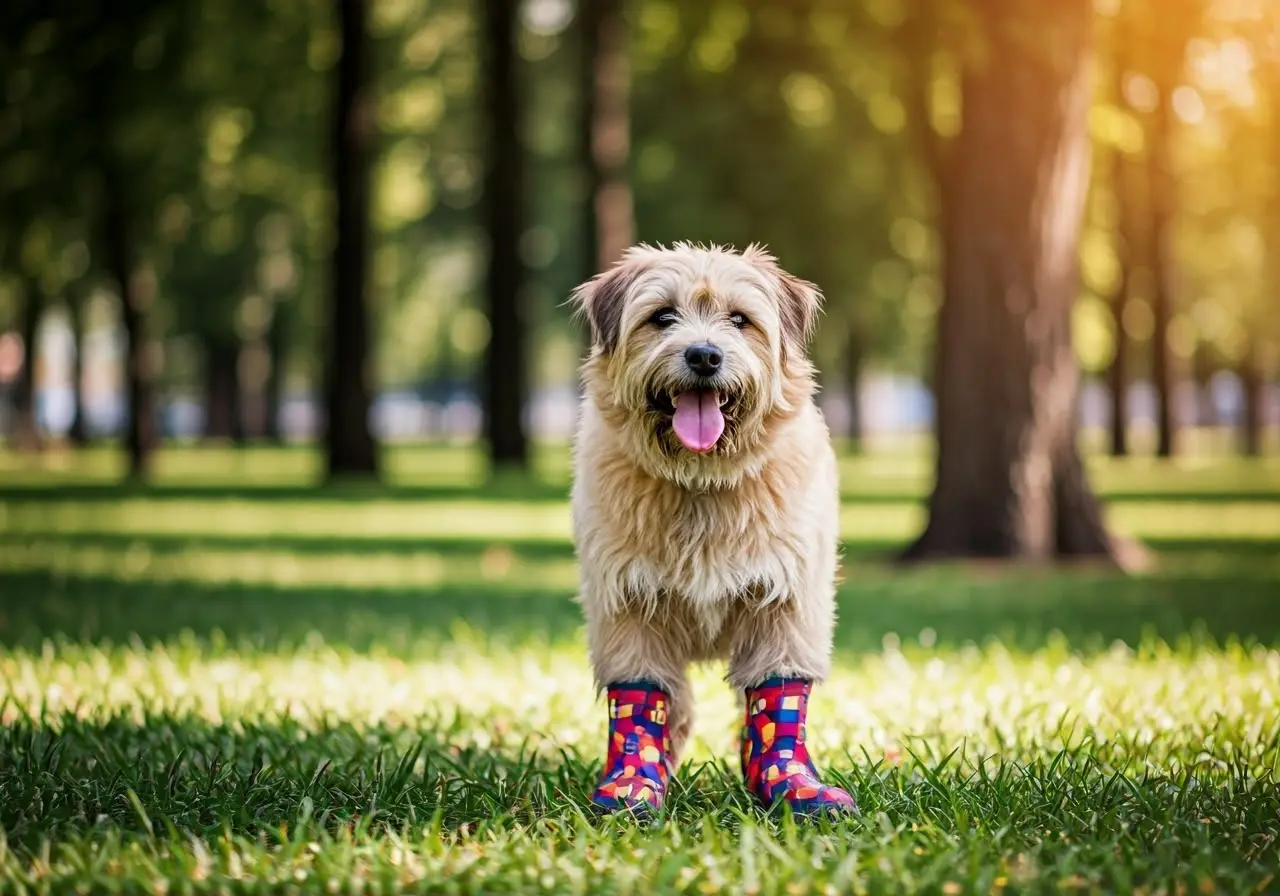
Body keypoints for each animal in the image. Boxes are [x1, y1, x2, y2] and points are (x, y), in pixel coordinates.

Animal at [568, 241, 849, 814]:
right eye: (662, 317)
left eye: (740, 320)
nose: (704, 355)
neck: (701, 482)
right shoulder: (626, 607)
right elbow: (641, 693)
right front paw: (632, 783)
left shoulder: (787, 604)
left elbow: (778, 689)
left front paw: (790, 782)